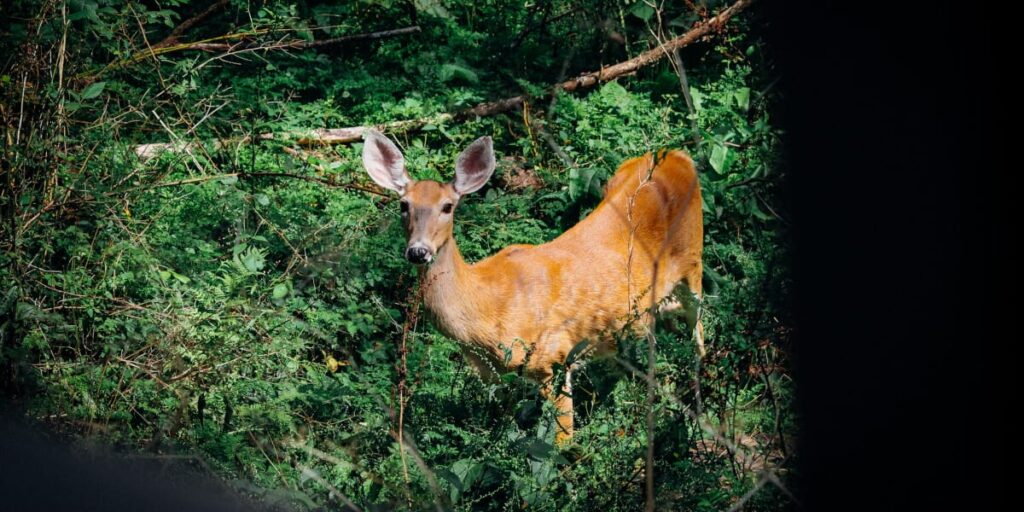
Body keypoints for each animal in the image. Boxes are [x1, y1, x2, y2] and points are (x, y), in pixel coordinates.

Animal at [361, 129, 703, 444]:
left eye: (447, 206)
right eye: (404, 205)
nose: (418, 251)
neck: (484, 310)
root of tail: (678, 156)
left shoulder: (553, 356)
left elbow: (563, 441)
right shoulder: (494, 375)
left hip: (693, 261)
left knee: (698, 325)